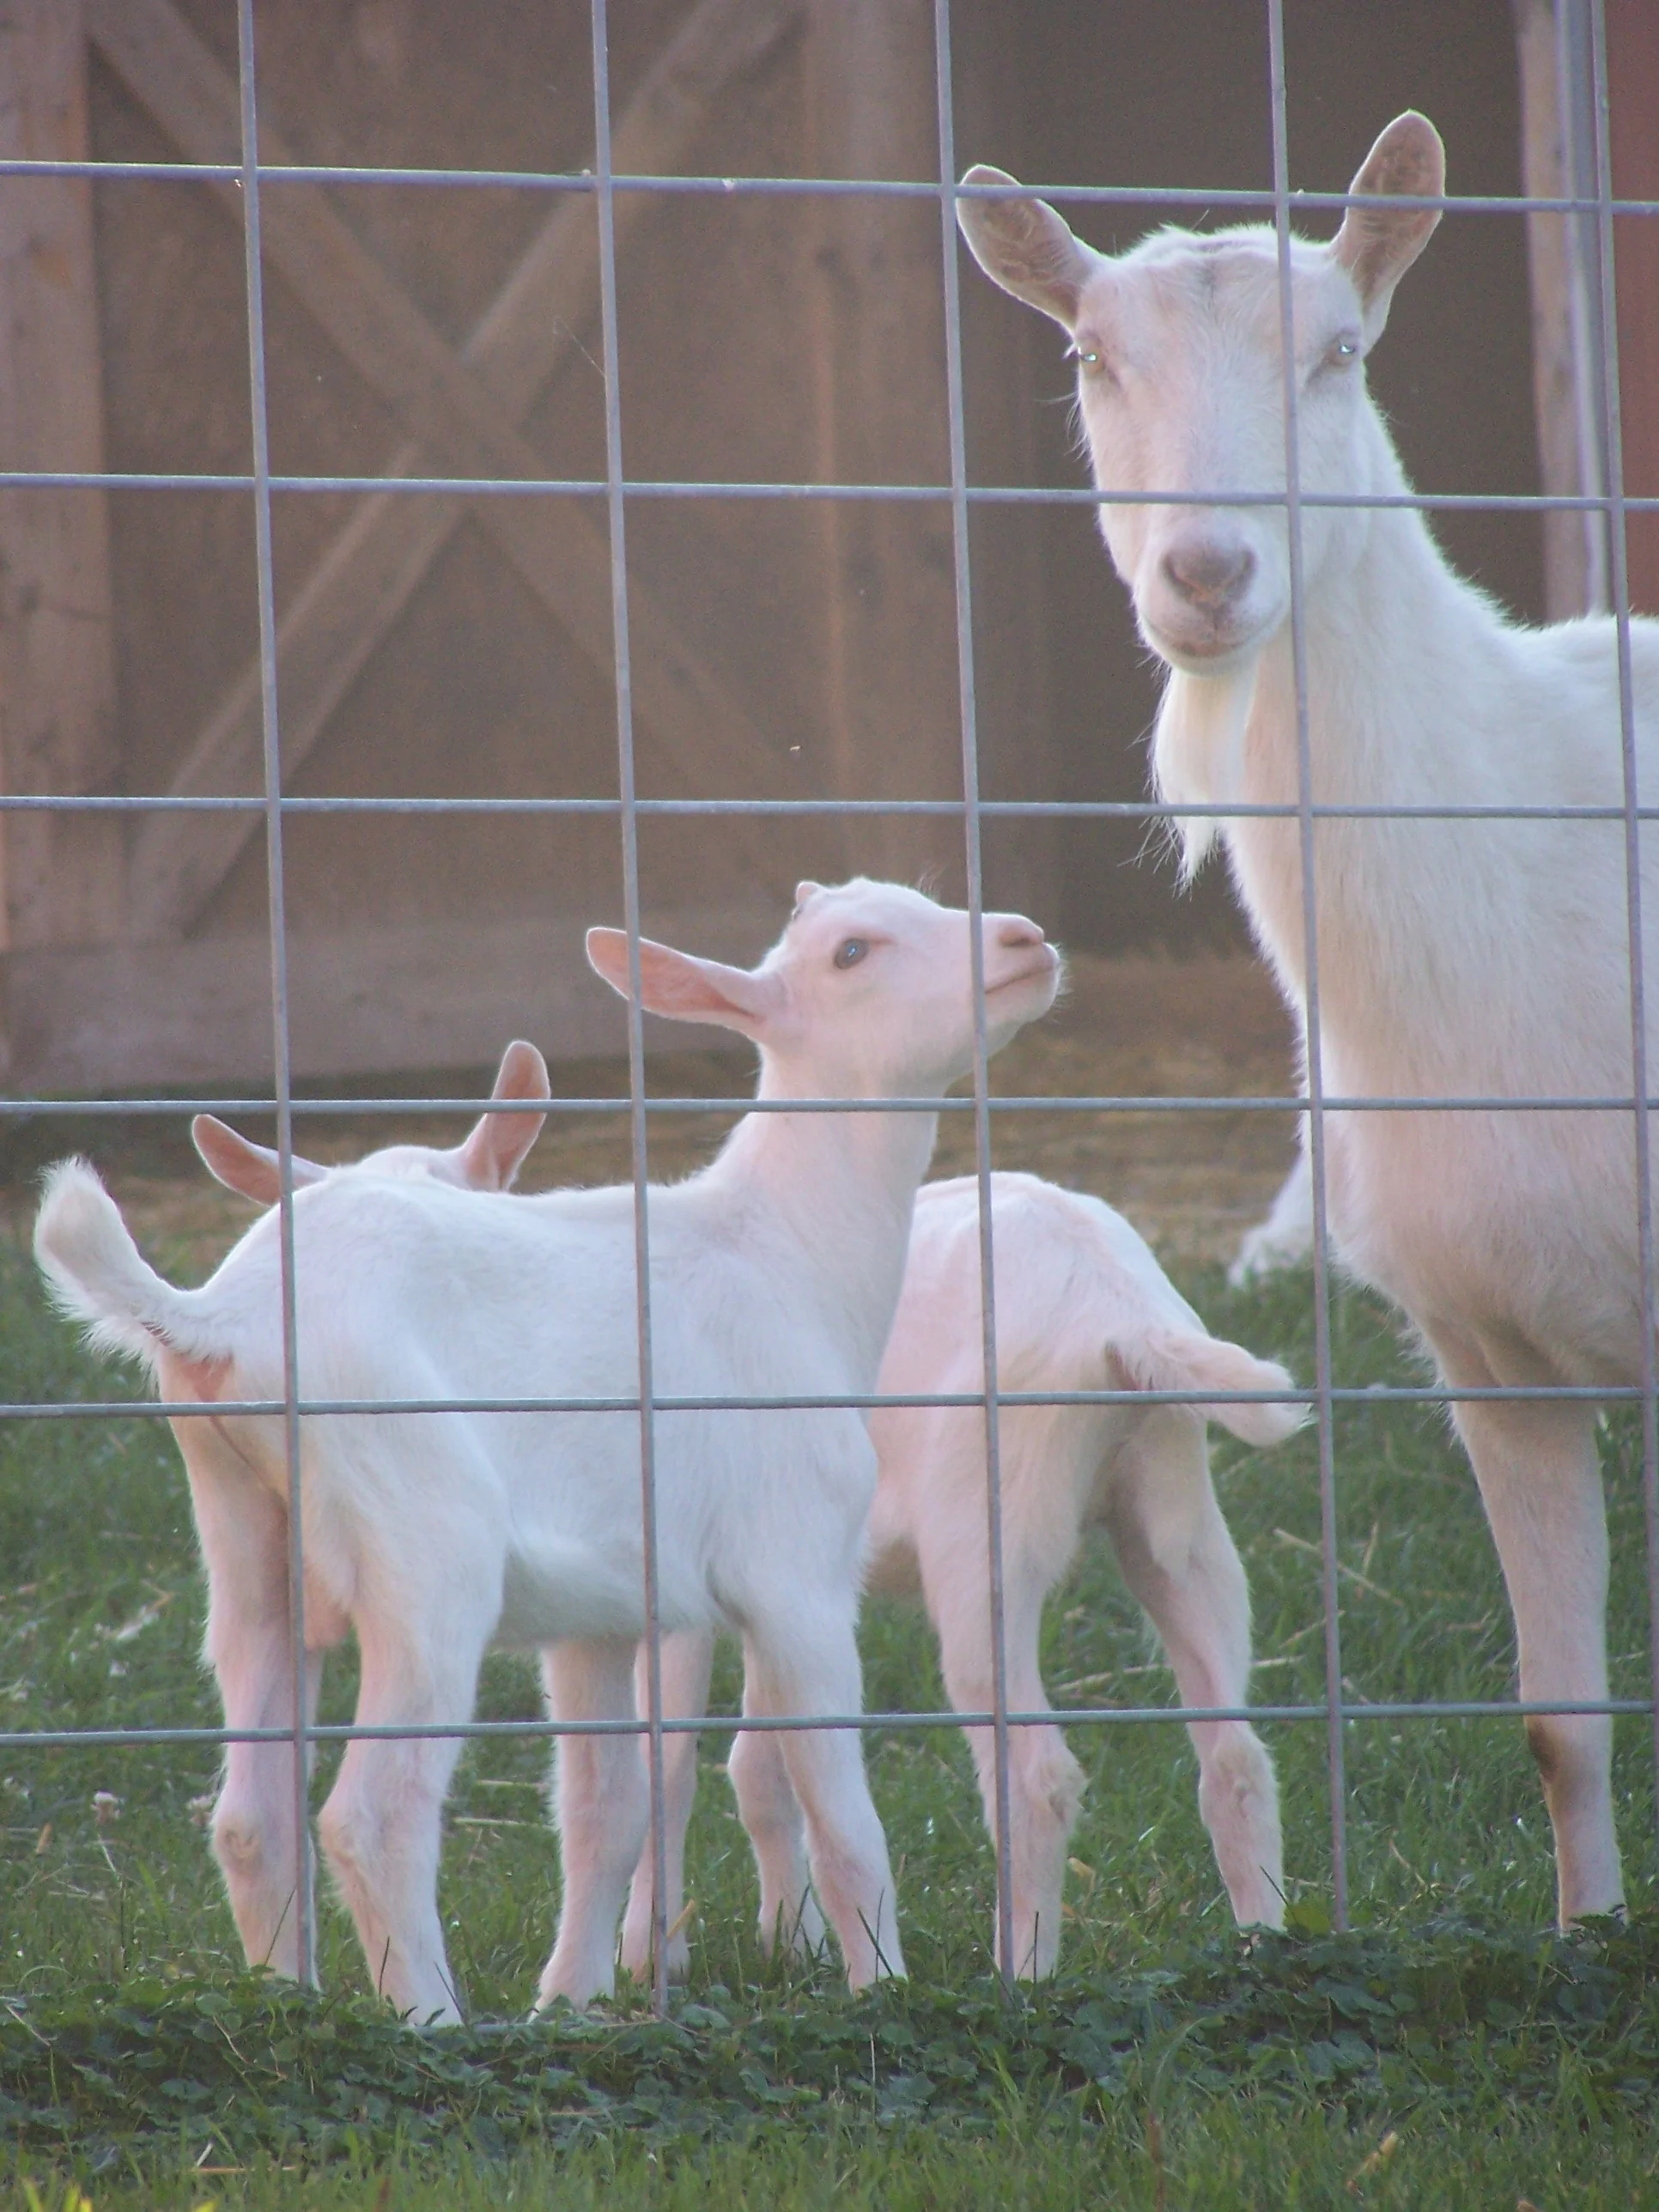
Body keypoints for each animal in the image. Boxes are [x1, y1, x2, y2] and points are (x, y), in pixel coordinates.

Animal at [35, 881, 1059, 2020]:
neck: (786, 1256)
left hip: (246, 1536)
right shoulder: (795, 1572)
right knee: (370, 1812)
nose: (1027, 939)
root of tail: (220, 1316)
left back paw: (288, 2006)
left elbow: (607, 1810)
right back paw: (430, 2021)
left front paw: (571, 1999)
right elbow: (846, 1821)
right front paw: (885, 1990)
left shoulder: (601, 1615)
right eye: (852, 951)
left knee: (251, 1812)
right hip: (424, 1543)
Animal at [616, 1169, 1303, 1981]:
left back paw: (1022, 1974)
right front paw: (790, 1940)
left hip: (985, 1536)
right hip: (1176, 1513)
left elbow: (667, 1762)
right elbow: (763, 1761)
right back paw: (1260, 1944)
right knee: (1235, 1755)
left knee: (1035, 1778)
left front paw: (645, 1960)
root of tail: (1120, 1315)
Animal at [956, 111, 1659, 1926]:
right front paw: (1584, 1935)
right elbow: (1557, 1722)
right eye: (1088, 354)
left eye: (1341, 351)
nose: (1209, 571)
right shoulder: (1487, 1346)